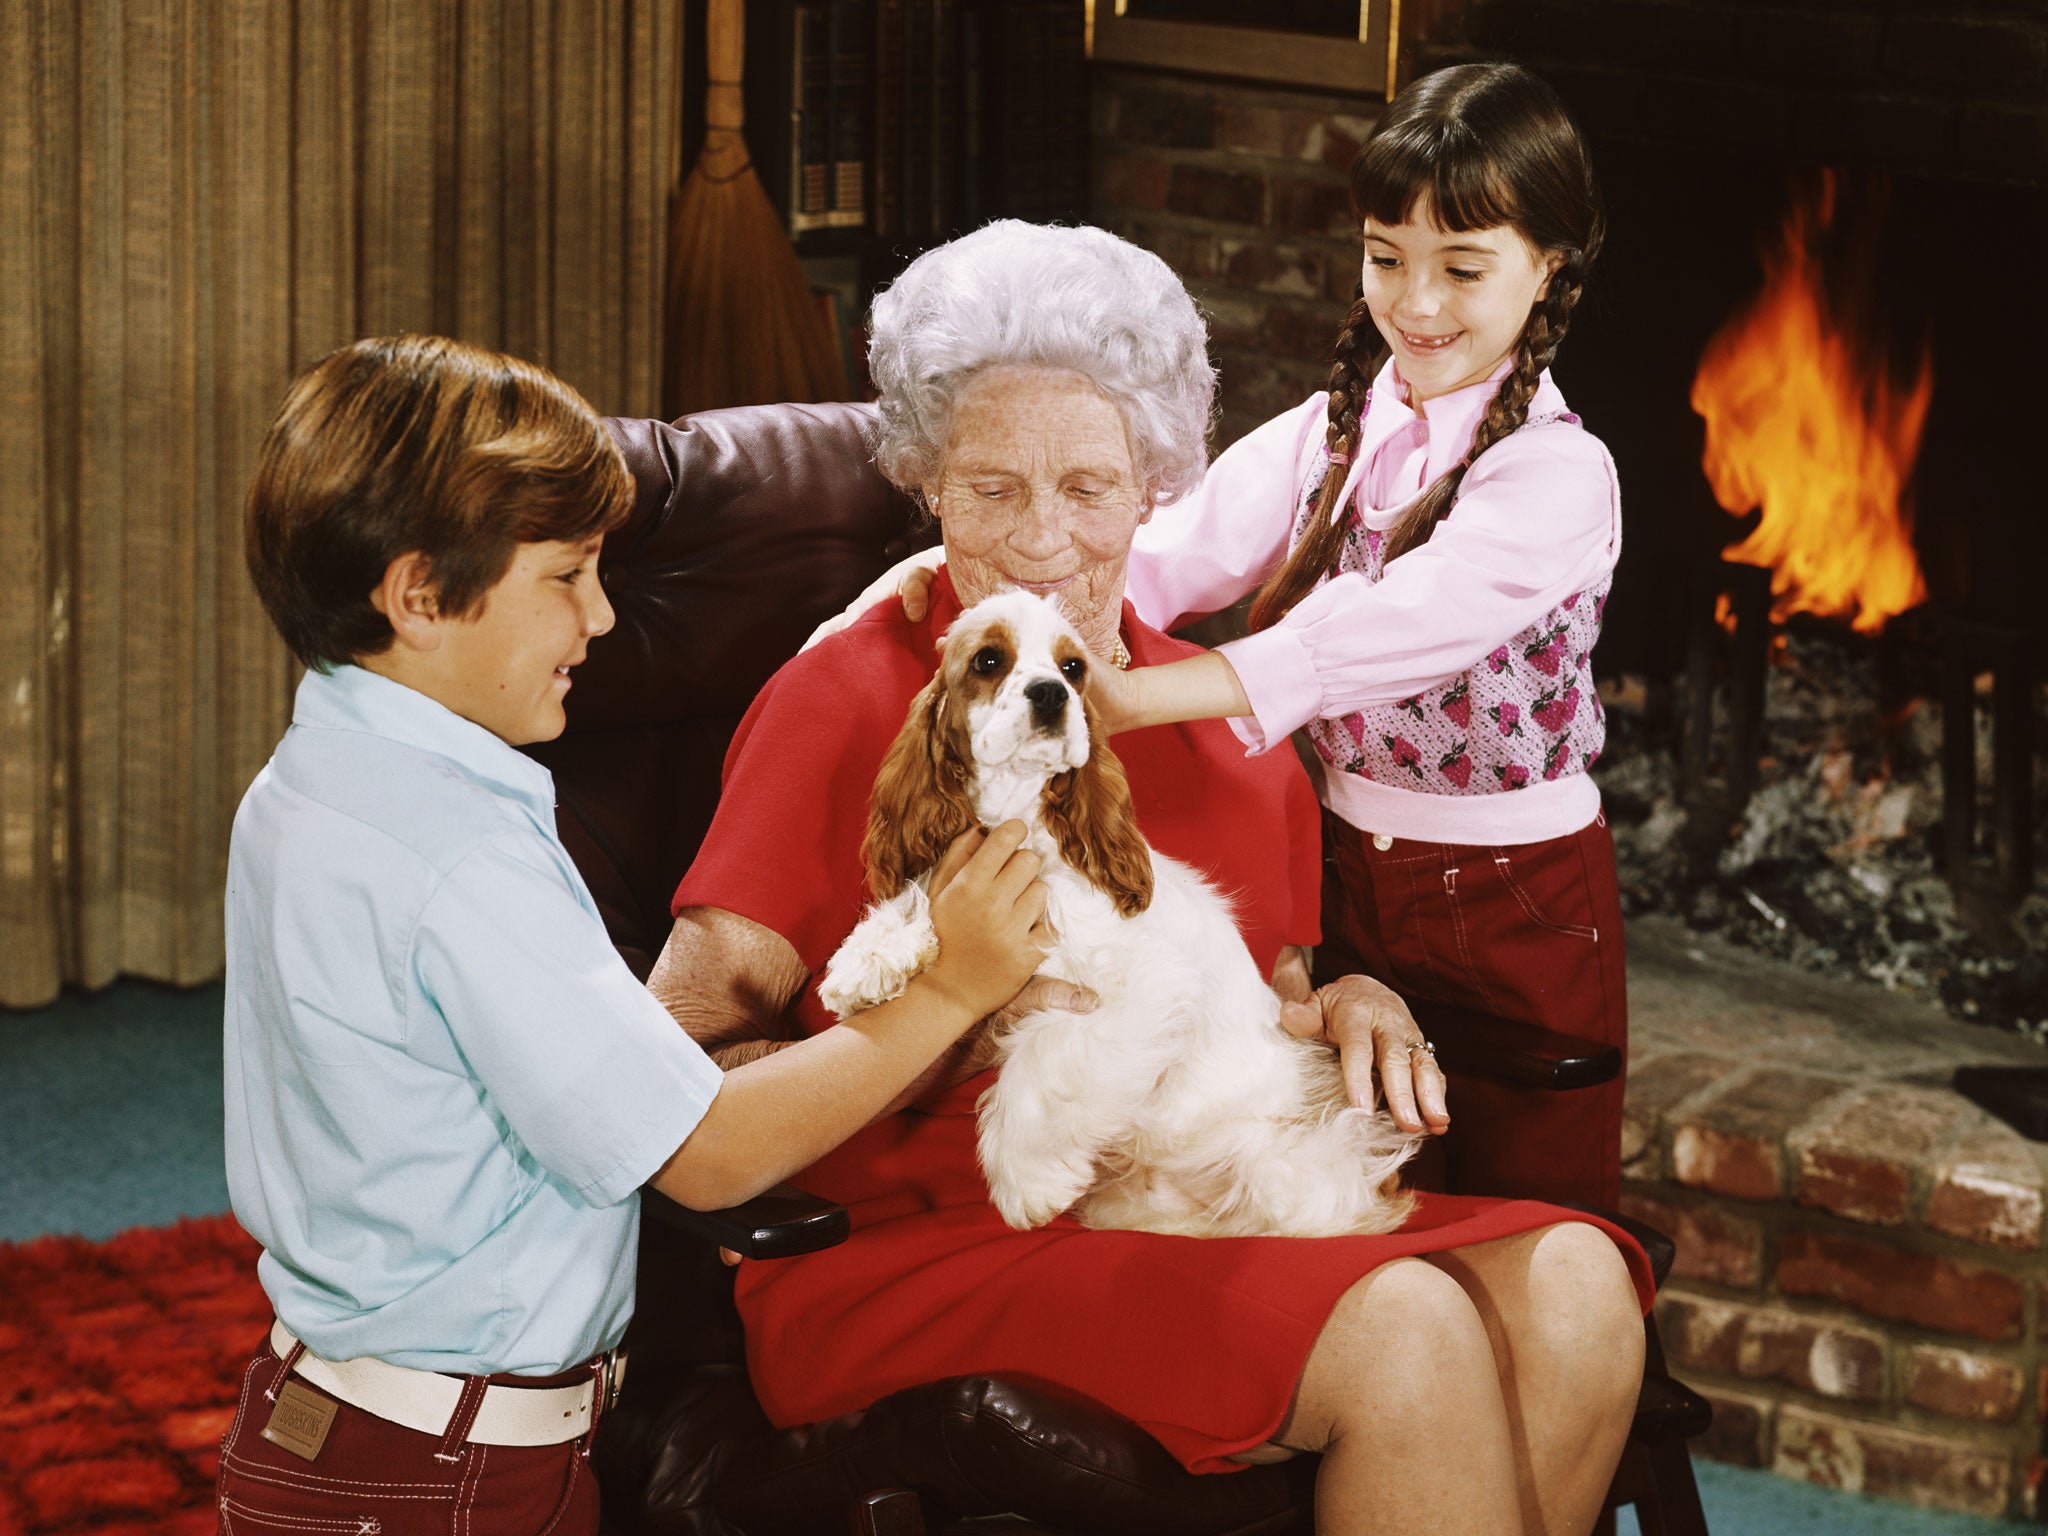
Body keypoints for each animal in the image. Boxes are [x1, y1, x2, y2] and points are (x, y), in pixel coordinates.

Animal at [815, 589, 1425, 1236]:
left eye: (1072, 668)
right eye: (988, 660)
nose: (1051, 693)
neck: (1020, 820)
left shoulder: (1135, 988)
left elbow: (1040, 1063)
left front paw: (1025, 1181)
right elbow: (920, 895)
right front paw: (866, 963)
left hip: (1281, 1166)